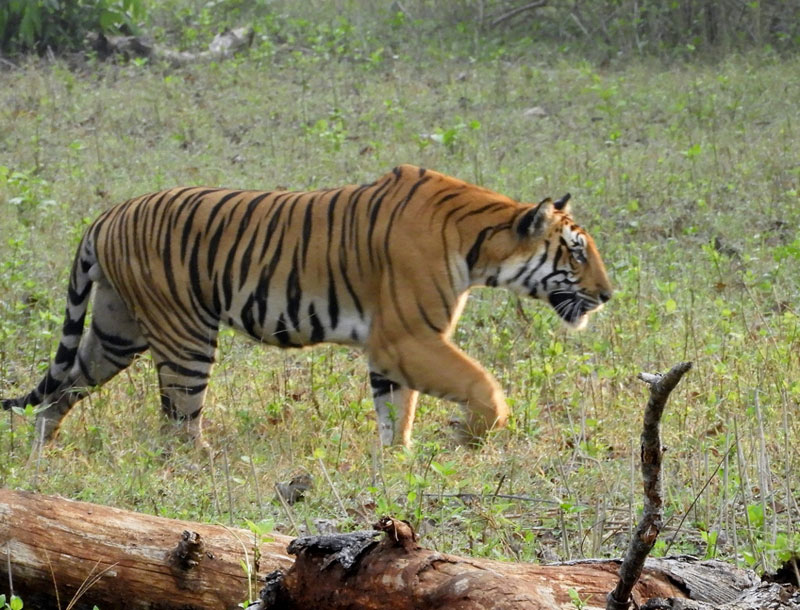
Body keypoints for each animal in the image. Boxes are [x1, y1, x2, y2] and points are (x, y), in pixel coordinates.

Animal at [1, 164, 612, 448]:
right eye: (577, 252)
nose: (608, 295)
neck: (481, 243)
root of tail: (106, 216)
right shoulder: (409, 336)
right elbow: (484, 385)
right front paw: (469, 437)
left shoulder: (393, 349)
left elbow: (397, 412)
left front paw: (397, 466)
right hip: (184, 335)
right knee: (178, 422)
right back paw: (206, 464)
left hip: (116, 331)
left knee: (61, 390)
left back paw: (41, 455)